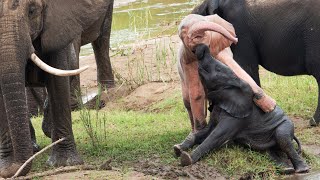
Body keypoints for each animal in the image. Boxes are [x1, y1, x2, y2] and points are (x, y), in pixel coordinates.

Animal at [0, 0, 114, 177]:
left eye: (32, 11)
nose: (12, 171)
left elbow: (58, 79)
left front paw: (64, 163)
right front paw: (4, 167)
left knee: (102, 38)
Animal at [178, 44, 310, 174]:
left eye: (218, 69)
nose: (202, 47)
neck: (237, 82)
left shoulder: (237, 119)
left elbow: (216, 135)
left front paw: (186, 159)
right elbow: (207, 131)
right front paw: (178, 148)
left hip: (286, 125)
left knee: (283, 138)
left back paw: (302, 170)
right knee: (269, 150)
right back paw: (286, 169)